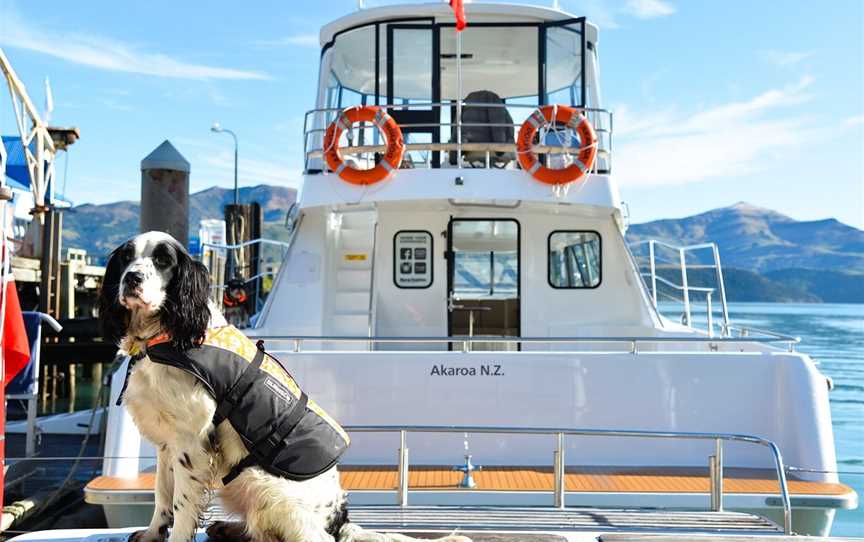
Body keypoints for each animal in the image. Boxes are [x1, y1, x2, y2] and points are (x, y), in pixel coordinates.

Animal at [99, 231, 472, 542]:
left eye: (163, 260)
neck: (163, 337)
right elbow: (162, 496)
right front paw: (151, 534)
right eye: (126, 257)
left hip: (263, 482)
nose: (131, 278)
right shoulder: (167, 442)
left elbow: (181, 504)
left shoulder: (192, 442)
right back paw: (229, 529)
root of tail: (340, 519)